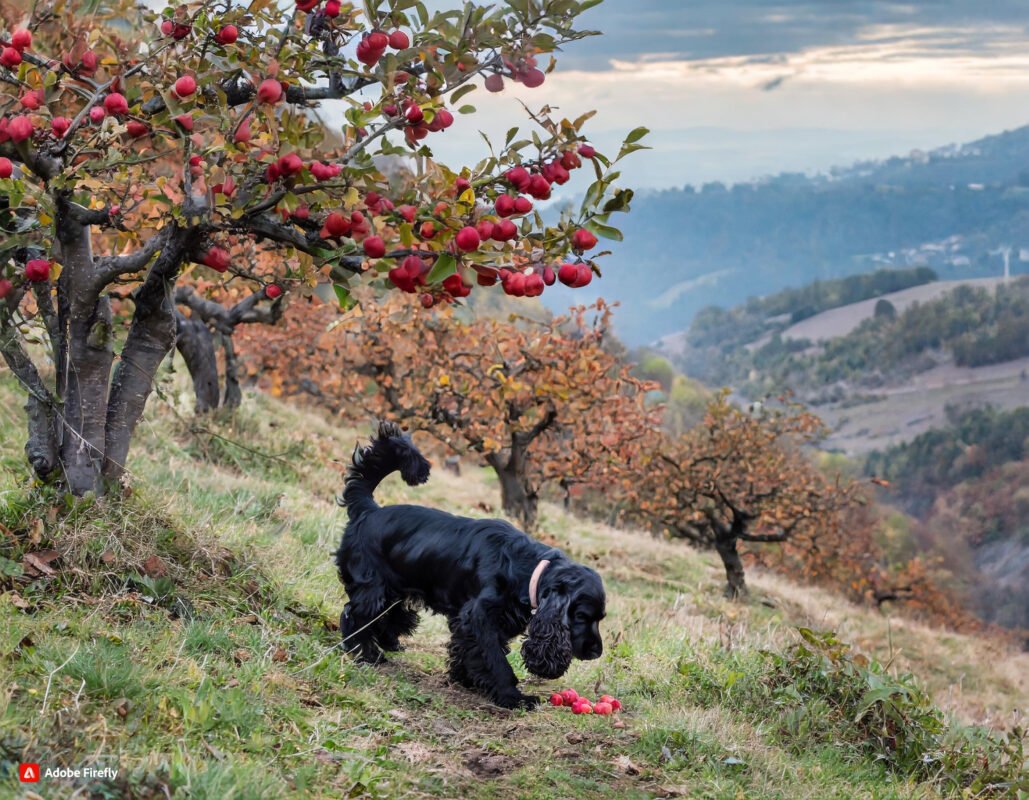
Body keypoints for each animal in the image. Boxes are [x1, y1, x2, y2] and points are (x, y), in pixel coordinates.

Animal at [333, 422, 605, 708]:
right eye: (582, 616)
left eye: (600, 618)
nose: (596, 652)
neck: (526, 568)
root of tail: (367, 509)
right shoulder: (479, 617)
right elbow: (494, 658)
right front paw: (512, 695)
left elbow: (469, 650)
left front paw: (464, 677)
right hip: (373, 588)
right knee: (354, 616)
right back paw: (366, 654)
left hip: (395, 589)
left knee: (389, 616)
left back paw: (389, 642)